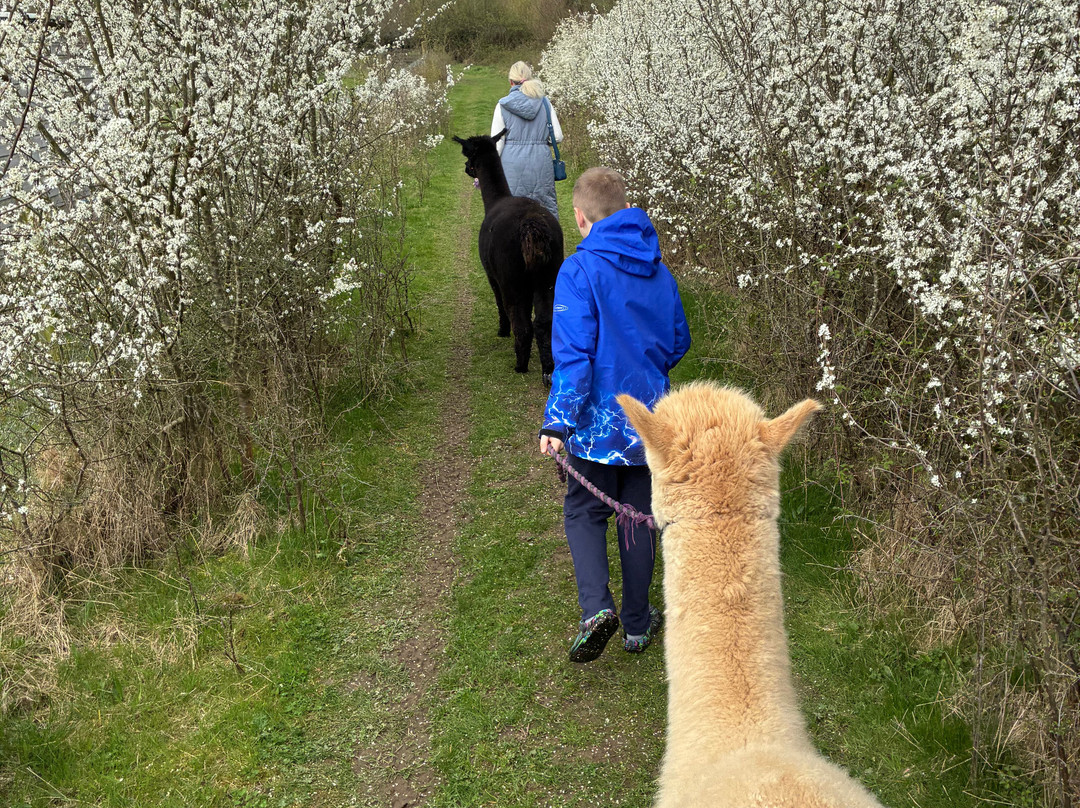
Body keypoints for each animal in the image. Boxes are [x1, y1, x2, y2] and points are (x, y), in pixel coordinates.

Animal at [453, 130, 563, 383]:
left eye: (467, 153)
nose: (466, 168)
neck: (496, 200)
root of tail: (531, 226)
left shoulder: (492, 274)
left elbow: (499, 303)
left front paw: (502, 331)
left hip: (511, 275)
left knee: (522, 323)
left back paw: (520, 365)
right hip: (548, 273)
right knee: (544, 321)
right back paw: (548, 371)